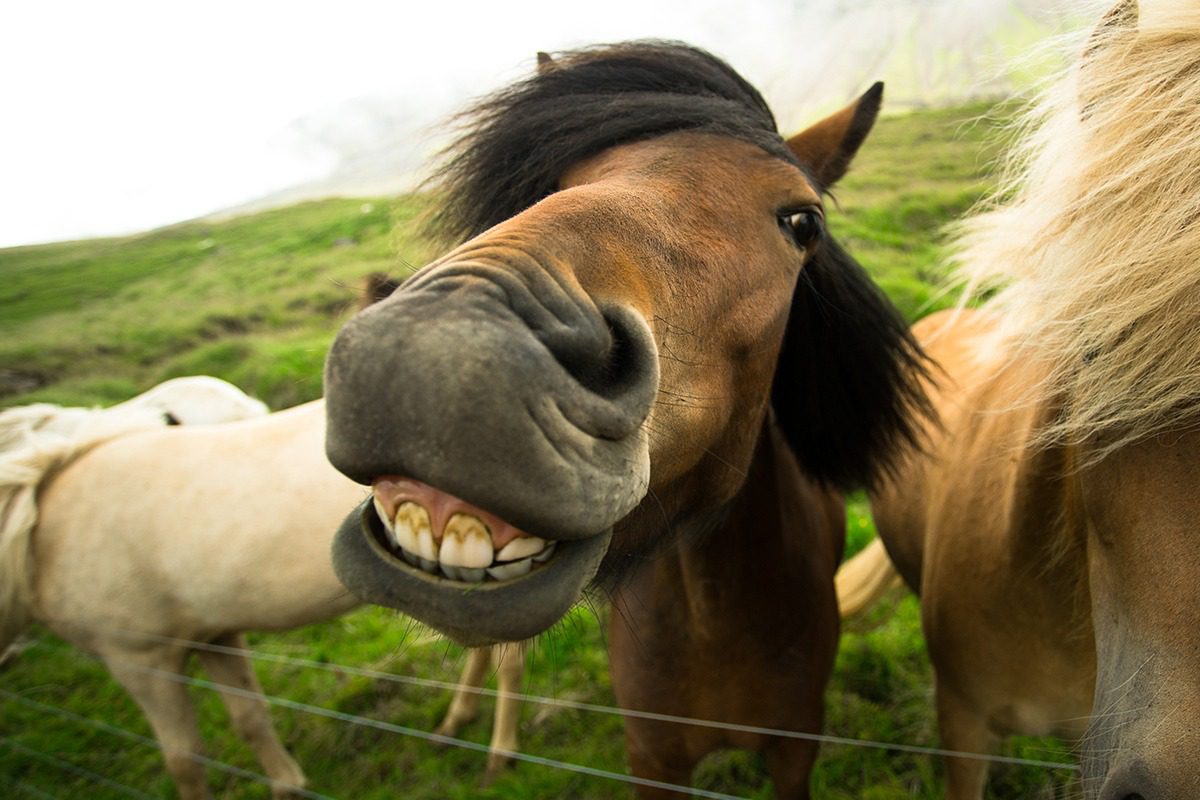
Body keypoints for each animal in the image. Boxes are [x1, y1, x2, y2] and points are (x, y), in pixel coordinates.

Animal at [319, 42, 933, 797]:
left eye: (803, 222)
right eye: (557, 179)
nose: (435, 355)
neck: (715, 617)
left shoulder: (795, 753)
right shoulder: (653, 758)